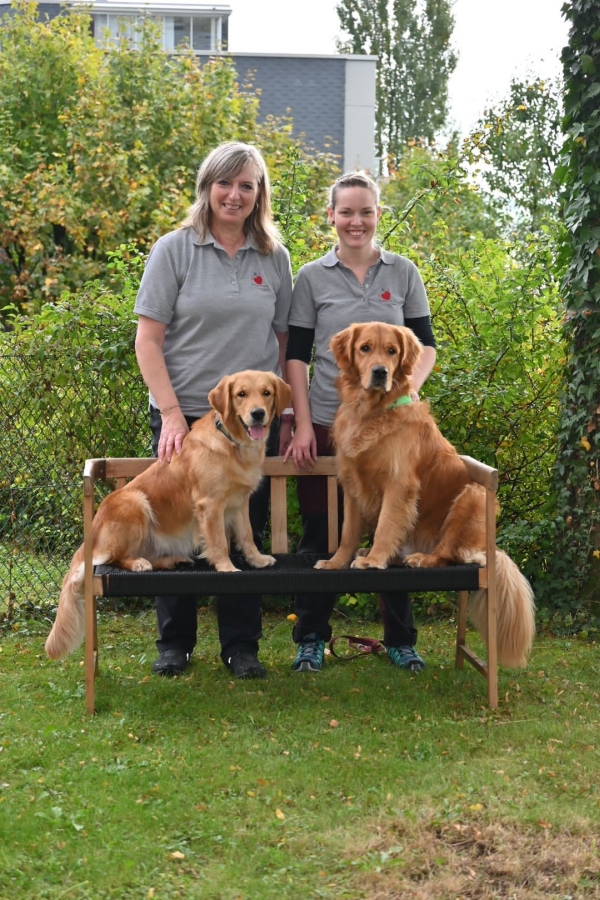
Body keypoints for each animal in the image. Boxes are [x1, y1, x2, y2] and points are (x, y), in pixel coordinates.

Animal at [45, 370, 292, 660]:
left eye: (266, 393)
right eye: (241, 394)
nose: (258, 413)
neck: (232, 443)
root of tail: (92, 530)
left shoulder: (240, 502)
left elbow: (247, 536)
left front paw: (257, 560)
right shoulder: (210, 505)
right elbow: (219, 542)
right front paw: (227, 568)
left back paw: (174, 560)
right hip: (136, 504)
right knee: (117, 557)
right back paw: (139, 564)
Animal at [315, 322, 535, 668]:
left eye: (392, 351)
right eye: (365, 348)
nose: (380, 372)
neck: (371, 412)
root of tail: (487, 546)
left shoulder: (398, 485)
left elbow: (386, 526)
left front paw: (374, 561)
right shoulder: (351, 485)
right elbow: (347, 532)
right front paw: (337, 561)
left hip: (472, 496)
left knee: (446, 553)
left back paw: (419, 558)